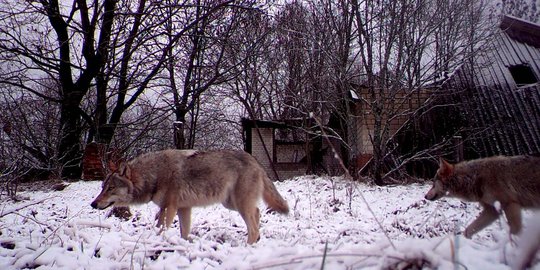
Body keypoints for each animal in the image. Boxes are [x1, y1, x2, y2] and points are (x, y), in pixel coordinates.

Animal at [90, 149, 288, 244]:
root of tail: (255, 161)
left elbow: (161, 228)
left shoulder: (169, 207)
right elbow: (183, 232)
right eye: (102, 187)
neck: (154, 175)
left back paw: (248, 247)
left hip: (239, 205)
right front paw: (181, 245)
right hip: (231, 204)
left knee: (253, 226)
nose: (93, 204)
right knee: (257, 212)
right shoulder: (183, 208)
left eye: (111, 188)